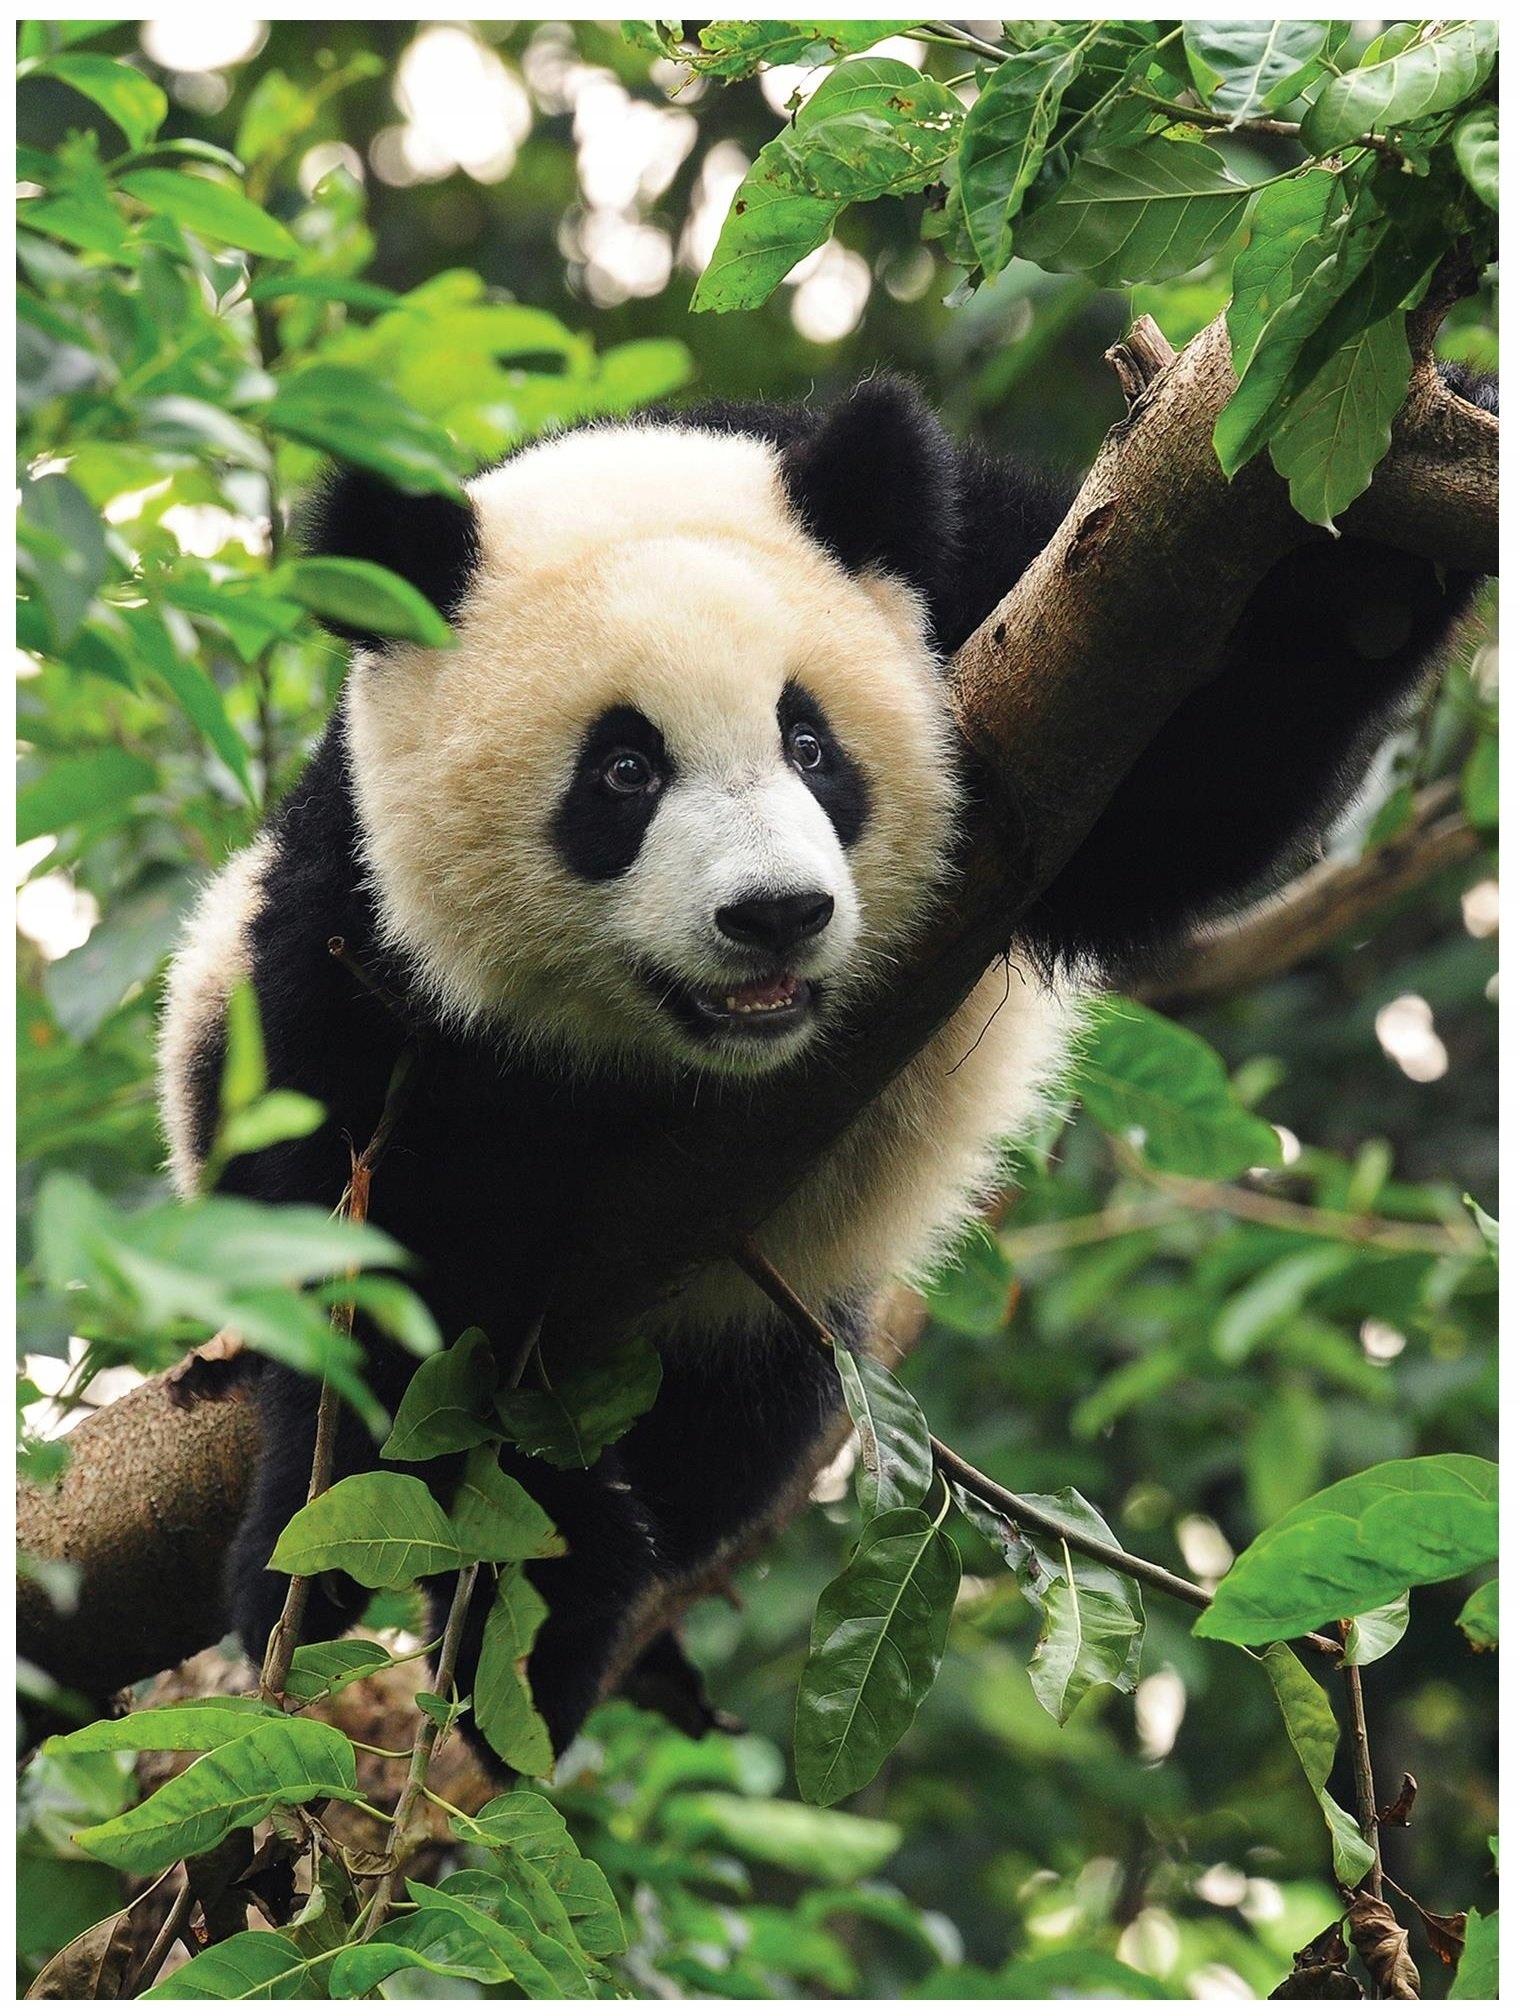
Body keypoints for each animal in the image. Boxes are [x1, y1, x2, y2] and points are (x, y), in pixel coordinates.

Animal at [159, 373, 1489, 1758]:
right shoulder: (359, 934)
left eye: (810, 743)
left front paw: (1401, 506)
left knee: (731, 1440)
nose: (774, 914)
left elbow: (1185, 788)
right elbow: (382, 1262)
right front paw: (433, 1575)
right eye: (622, 771)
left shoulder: (1004, 603)